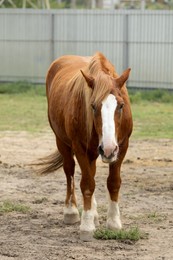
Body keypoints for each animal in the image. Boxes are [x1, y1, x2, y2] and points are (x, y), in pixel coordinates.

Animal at [39, 51, 133, 241]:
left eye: (121, 105)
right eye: (93, 106)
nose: (108, 149)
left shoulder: (122, 147)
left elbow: (113, 182)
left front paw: (113, 222)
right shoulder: (80, 148)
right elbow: (87, 184)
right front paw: (87, 226)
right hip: (63, 143)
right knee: (70, 172)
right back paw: (72, 211)